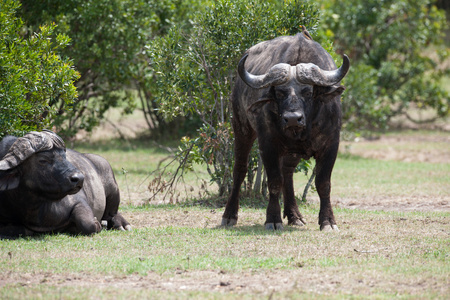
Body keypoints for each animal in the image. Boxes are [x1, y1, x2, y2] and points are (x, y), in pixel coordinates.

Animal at [0, 130, 130, 238]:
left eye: (64, 156)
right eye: (43, 160)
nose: (79, 178)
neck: (34, 206)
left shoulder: (79, 202)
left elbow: (88, 223)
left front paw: (97, 223)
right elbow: (17, 230)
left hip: (113, 187)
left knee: (112, 213)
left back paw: (119, 224)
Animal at [221, 27, 348, 231]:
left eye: (308, 92)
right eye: (280, 93)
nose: (293, 118)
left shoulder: (331, 145)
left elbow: (323, 183)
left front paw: (328, 221)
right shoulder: (268, 145)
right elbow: (274, 181)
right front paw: (273, 219)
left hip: (291, 152)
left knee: (287, 172)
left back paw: (294, 215)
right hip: (241, 127)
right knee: (239, 169)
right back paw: (229, 215)